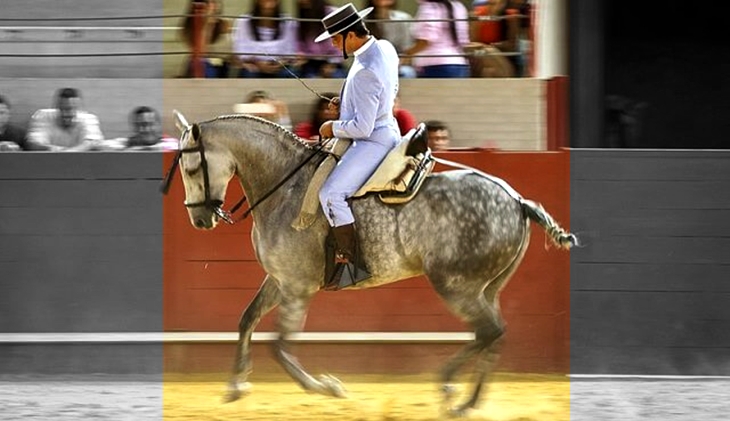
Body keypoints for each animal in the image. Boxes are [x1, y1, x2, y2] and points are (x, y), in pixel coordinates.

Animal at [164, 112, 576, 416]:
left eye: (190, 169)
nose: (199, 219)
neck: (285, 185)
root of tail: (517, 201)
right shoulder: (278, 281)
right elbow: (247, 319)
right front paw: (236, 384)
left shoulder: (297, 287)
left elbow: (279, 345)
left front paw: (328, 387)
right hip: (487, 288)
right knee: (493, 334)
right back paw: (467, 401)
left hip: (456, 285)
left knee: (488, 331)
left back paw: (448, 386)